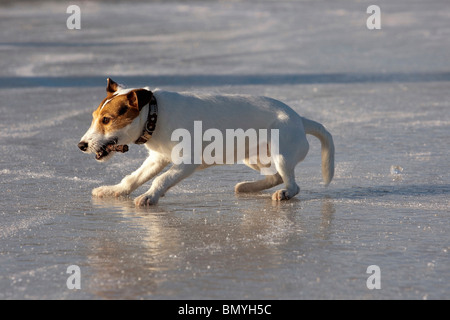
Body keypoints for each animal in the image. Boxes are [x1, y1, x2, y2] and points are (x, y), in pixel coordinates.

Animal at [78, 79, 334, 206]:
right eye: (94, 117)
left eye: (107, 119)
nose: (81, 145)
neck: (155, 115)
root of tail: (300, 119)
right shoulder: (157, 158)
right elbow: (133, 178)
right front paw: (114, 191)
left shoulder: (186, 161)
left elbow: (162, 179)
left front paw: (150, 197)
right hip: (253, 158)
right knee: (277, 176)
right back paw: (248, 187)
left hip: (281, 151)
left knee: (292, 184)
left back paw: (284, 194)